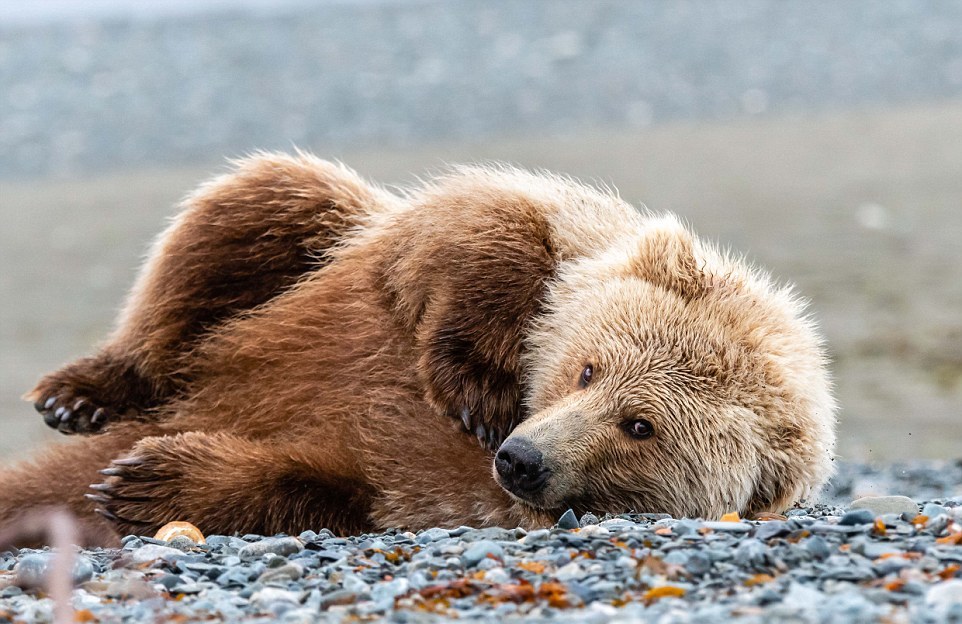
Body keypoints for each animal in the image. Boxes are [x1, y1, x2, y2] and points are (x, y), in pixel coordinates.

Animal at [0, 152, 832, 544]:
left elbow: (326, 485)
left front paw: (146, 482)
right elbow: (486, 232)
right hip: (320, 234)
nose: (521, 457)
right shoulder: (556, 237)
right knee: (254, 209)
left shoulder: (427, 495)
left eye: (641, 426)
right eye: (588, 368)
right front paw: (477, 387)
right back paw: (82, 393)